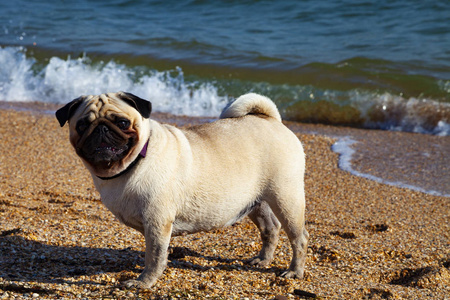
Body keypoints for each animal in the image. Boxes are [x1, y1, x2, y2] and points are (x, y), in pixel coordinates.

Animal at [55, 91, 310, 288]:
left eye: (122, 123)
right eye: (82, 125)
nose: (101, 129)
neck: (131, 164)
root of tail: (271, 120)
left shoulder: (157, 222)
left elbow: (154, 257)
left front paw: (144, 282)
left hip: (285, 198)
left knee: (299, 238)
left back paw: (294, 272)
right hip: (255, 202)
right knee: (271, 229)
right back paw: (262, 260)